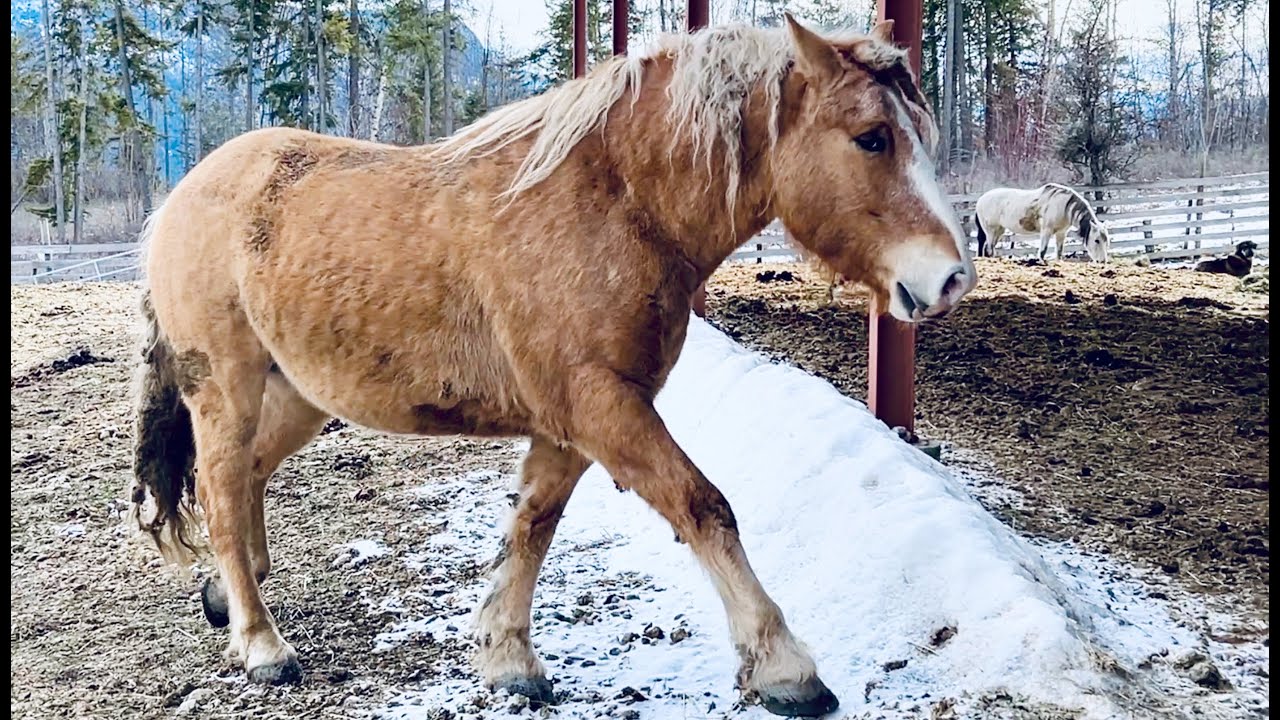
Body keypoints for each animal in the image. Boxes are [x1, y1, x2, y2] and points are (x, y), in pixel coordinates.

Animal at [129, 15, 976, 717]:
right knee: (221, 487)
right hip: (225, 386)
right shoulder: (602, 405)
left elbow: (532, 525)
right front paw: (785, 668)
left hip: (301, 393)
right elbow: (703, 507)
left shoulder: (575, 421)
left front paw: (507, 658)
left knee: (243, 478)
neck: (617, 203)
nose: (950, 279)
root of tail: (182, 196)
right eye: (872, 138)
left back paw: (227, 593)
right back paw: (261, 644)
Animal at [974, 182, 1111, 263]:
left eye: (1106, 241)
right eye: (1096, 240)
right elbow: (1043, 251)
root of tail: (980, 199)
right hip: (990, 230)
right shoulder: (1046, 230)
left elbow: (1059, 252)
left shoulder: (1061, 233)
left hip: (999, 230)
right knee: (989, 249)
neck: (1064, 206)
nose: (1102, 262)